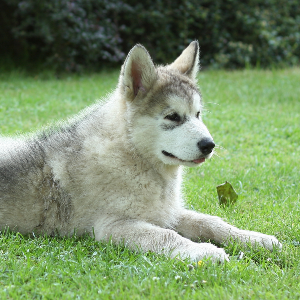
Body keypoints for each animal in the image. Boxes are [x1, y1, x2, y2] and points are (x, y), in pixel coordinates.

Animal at [0, 41, 282, 262]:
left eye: (198, 114)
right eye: (173, 117)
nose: (209, 145)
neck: (132, 155)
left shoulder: (166, 212)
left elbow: (209, 221)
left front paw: (253, 238)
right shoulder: (113, 225)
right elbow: (167, 236)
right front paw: (203, 251)